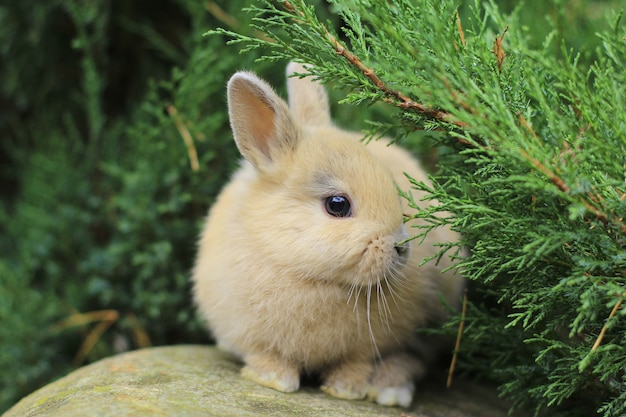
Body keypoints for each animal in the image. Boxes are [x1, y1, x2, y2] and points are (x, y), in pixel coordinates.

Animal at [191, 61, 464, 406]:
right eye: (337, 205)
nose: (401, 247)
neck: (311, 277)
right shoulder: (250, 335)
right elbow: (266, 355)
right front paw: (273, 379)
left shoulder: (368, 348)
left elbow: (358, 363)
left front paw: (346, 389)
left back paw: (389, 390)